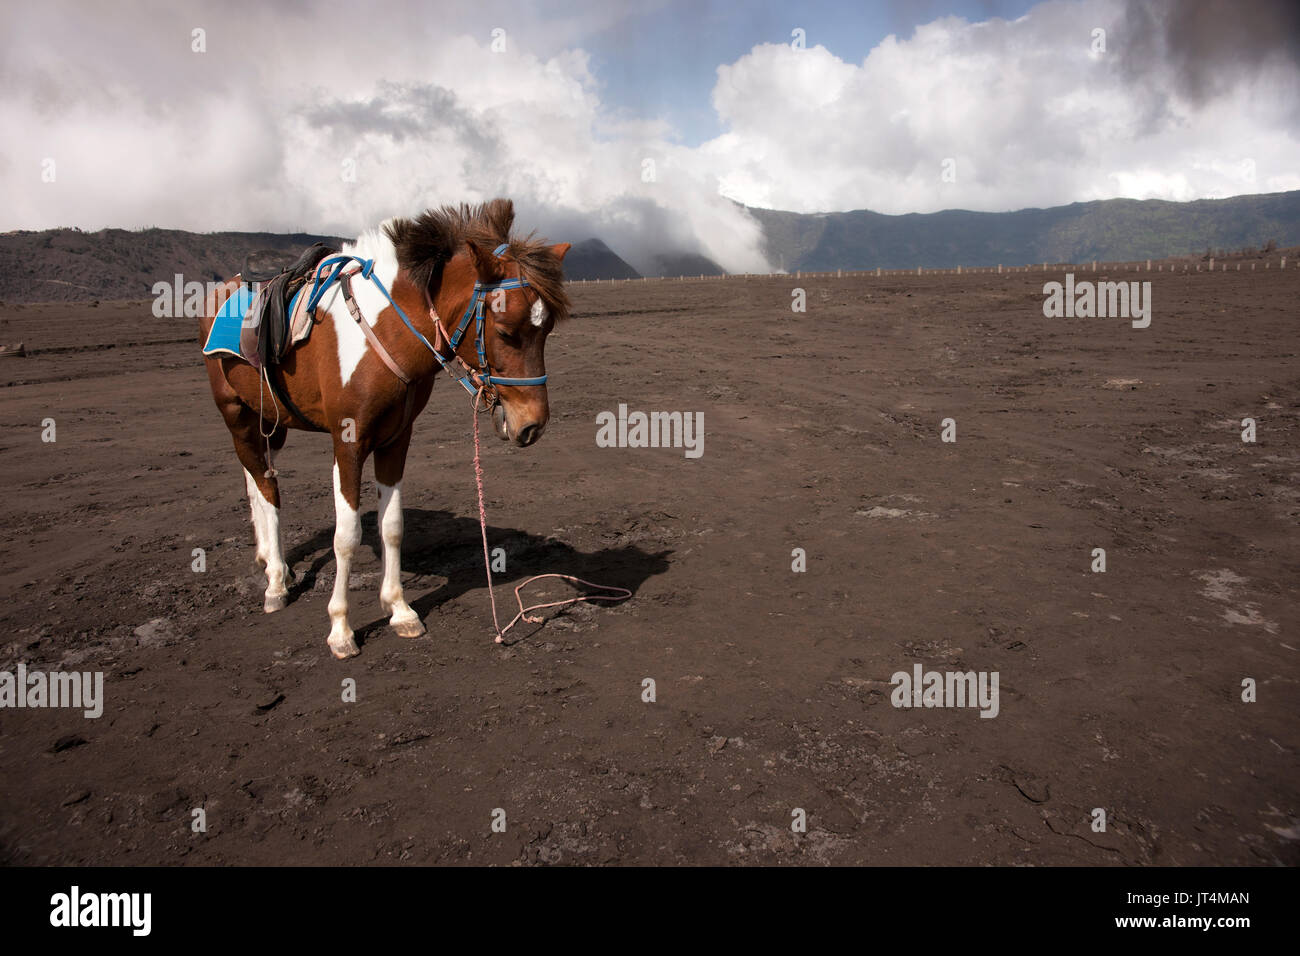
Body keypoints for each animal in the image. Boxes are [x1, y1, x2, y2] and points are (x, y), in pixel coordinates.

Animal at [198, 196, 569, 658]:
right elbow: (347, 535)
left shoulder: (396, 438)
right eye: (505, 332)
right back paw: (276, 581)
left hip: (269, 420)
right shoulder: (348, 441)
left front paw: (400, 609)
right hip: (235, 414)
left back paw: (269, 559)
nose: (532, 425)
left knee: (256, 480)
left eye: (547, 328)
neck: (386, 330)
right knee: (267, 491)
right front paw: (340, 628)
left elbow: (392, 527)